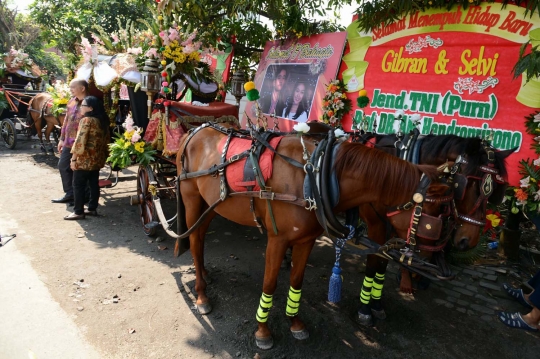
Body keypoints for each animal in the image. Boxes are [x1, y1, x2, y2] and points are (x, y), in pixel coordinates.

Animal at [177, 126, 452, 348]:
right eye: (434, 218)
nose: (439, 265)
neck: (315, 178)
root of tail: (193, 132)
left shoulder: (306, 240)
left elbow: (297, 280)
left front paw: (295, 322)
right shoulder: (277, 240)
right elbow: (269, 284)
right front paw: (263, 331)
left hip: (211, 205)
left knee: (200, 236)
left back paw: (205, 274)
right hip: (191, 199)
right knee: (194, 241)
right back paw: (201, 294)